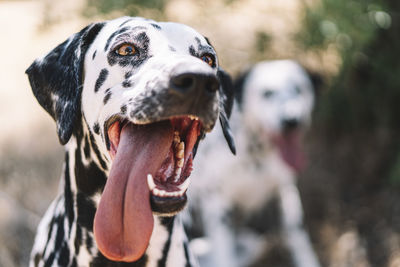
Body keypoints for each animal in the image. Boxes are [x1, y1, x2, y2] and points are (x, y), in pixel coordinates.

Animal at [187, 60, 322, 267]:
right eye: (267, 93)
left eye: (299, 89)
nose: (291, 120)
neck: (256, 156)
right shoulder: (219, 208)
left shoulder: (285, 192)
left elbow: (298, 238)